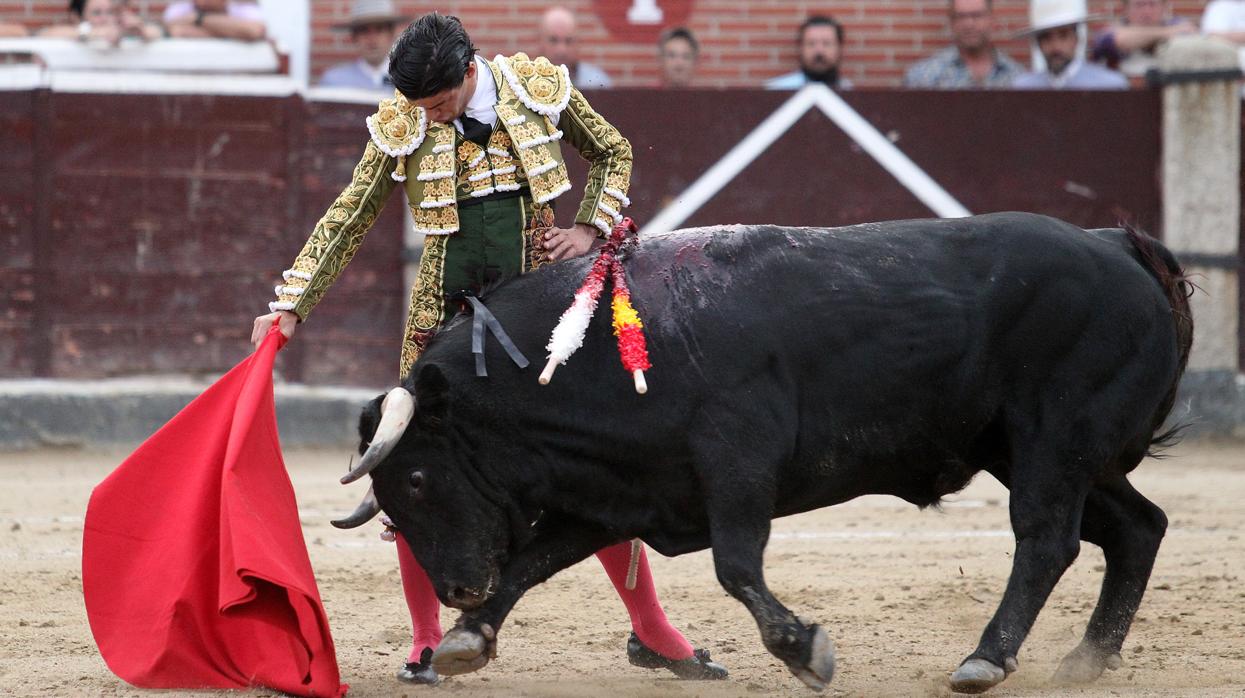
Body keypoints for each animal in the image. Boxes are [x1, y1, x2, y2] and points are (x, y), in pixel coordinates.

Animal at [336, 212, 1190, 691]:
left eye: (417, 477)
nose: (455, 590)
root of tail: (1117, 248)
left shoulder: (736, 466)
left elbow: (735, 565)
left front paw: (802, 650)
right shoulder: (623, 490)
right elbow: (534, 561)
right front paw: (465, 642)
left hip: (1053, 442)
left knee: (1044, 540)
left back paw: (984, 659)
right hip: (1039, 452)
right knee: (1136, 527)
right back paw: (1085, 661)